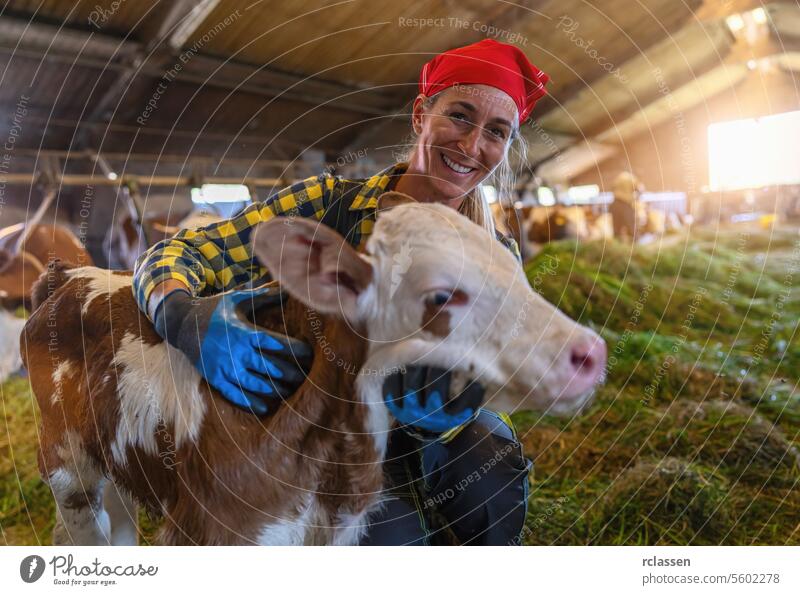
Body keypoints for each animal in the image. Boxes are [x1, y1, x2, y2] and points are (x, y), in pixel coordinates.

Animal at [21, 194, 604, 544]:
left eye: (515, 268)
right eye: (440, 295)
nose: (589, 353)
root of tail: (69, 273)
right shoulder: (214, 528)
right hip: (66, 466)